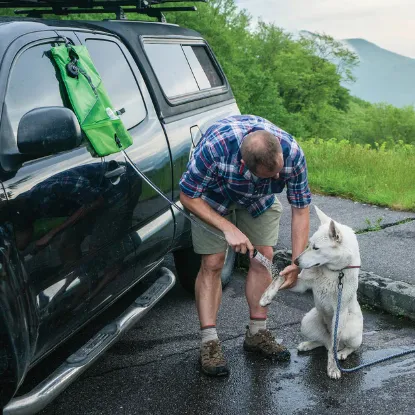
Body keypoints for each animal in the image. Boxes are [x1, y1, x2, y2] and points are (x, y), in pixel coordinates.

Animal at [260, 206, 364, 378]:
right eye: (308, 244)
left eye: (316, 248)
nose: (295, 262)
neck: (333, 272)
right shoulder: (300, 283)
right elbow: (280, 277)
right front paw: (266, 296)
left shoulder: (340, 311)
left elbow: (334, 346)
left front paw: (333, 368)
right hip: (306, 322)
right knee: (324, 343)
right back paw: (308, 344)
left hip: (351, 330)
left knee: (341, 346)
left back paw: (342, 353)